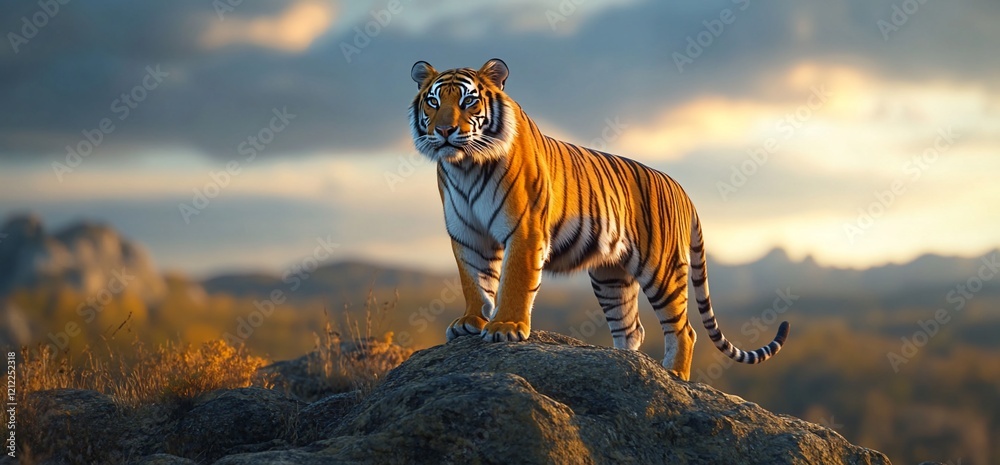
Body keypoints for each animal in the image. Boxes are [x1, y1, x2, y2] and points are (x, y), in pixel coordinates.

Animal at [408, 58, 789, 380]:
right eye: (433, 102)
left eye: (469, 102)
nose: (444, 131)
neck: (466, 166)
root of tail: (682, 189)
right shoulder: (467, 234)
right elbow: (473, 280)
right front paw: (470, 321)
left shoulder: (524, 230)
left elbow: (514, 280)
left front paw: (505, 326)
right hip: (612, 277)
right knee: (631, 328)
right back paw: (626, 364)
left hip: (662, 269)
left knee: (684, 330)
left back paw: (675, 376)